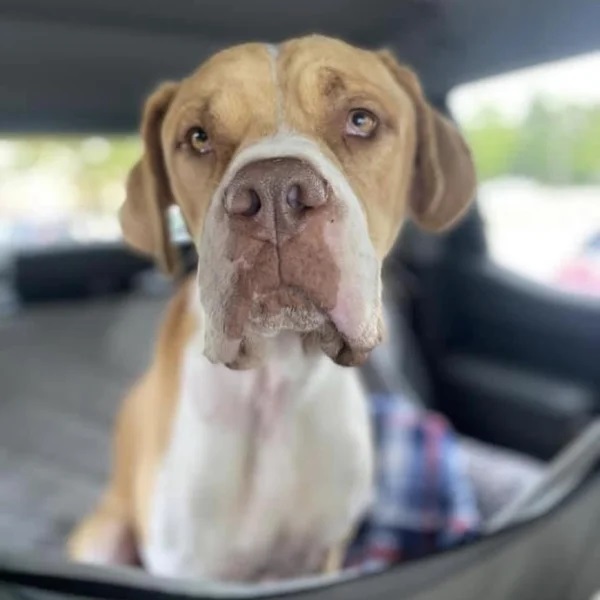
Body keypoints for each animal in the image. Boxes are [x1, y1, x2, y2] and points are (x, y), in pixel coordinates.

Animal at [68, 35, 476, 584]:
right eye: (197, 137)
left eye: (361, 119)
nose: (275, 193)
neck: (275, 388)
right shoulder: (187, 569)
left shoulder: (321, 556)